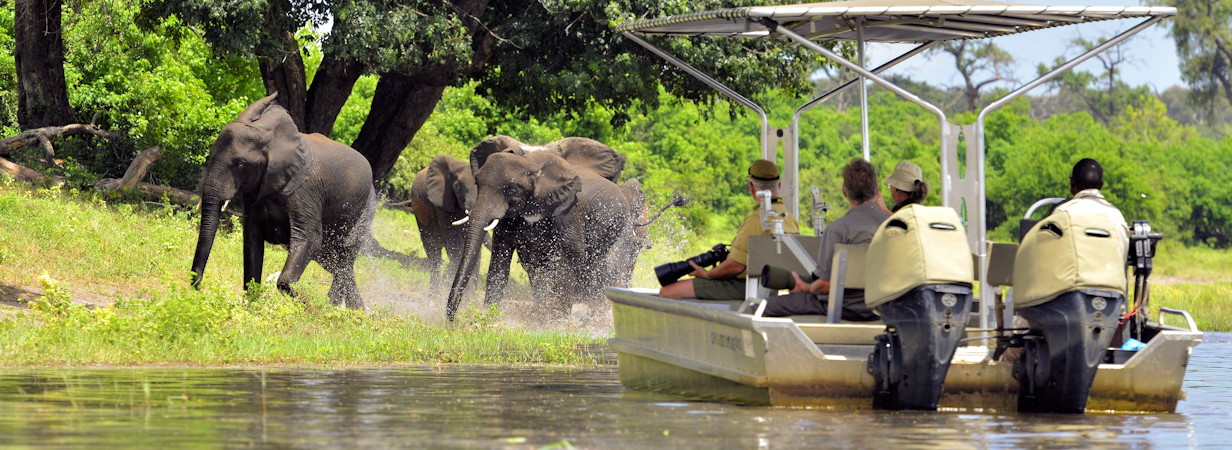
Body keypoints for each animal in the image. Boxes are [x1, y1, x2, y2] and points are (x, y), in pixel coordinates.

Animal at [188, 92, 374, 306]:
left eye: (241, 165)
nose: (199, 288)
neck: (271, 138)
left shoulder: (305, 191)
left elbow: (310, 239)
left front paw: (306, 304)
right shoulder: (254, 193)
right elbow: (252, 240)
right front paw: (253, 306)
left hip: (364, 211)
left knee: (343, 258)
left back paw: (332, 307)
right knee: (336, 263)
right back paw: (357, 311)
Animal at [445, 135, 635, 318]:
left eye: (513, 191)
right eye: (477, 183)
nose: (451, 322)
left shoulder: (568, 212)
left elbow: (568, 260)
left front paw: (558, 321)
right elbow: (501, 261)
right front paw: (489, 317)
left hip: (622, 226)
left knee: (609, 267)